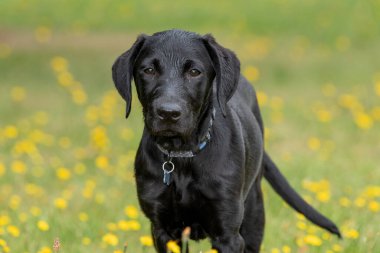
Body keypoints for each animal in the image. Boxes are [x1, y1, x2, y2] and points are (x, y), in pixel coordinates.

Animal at [111, 30, 340, 253]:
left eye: (194, 72)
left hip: (254, 212)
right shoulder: (163, 231)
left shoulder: (228, 233)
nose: (168, 113)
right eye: (148, 70)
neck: (182, 154)